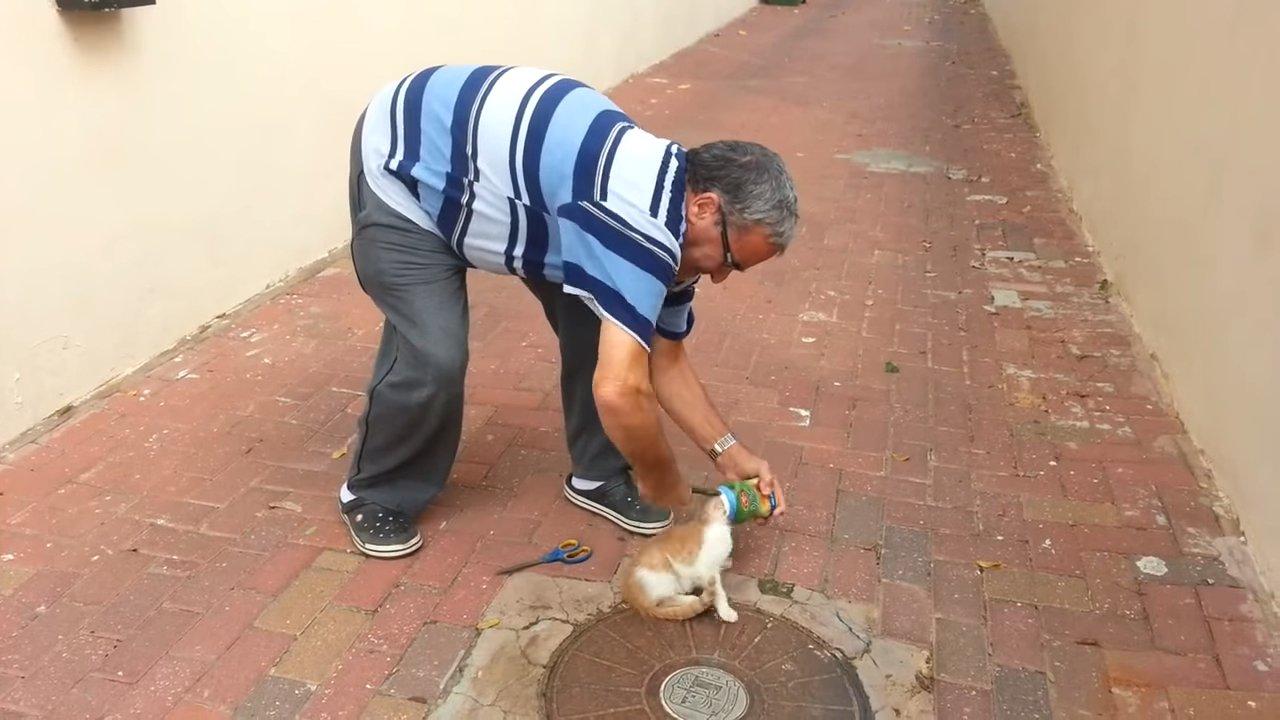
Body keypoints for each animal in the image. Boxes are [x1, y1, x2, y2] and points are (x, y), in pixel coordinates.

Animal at [621, 494, 737, 622]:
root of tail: (634, 598)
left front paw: (727, 562)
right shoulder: (707, 568)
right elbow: (719, 591)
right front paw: (726, 611)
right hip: (664, 573)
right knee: (664, 601)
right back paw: (692, 599)